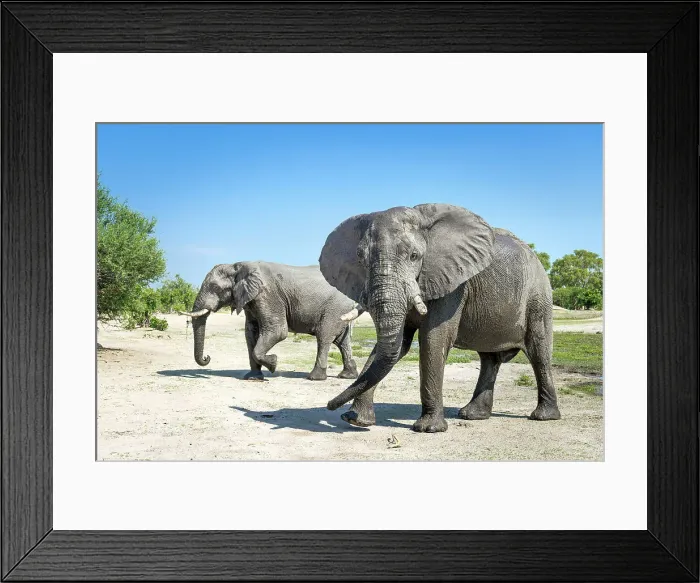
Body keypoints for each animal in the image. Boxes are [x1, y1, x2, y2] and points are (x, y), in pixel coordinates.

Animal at [180, 261, 359, 381]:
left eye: (216, 288)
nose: (207, 358)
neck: (238, 265)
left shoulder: (267, 295)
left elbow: (278, 331)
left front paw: (273, 364)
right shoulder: (250, 300)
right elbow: (250, 333)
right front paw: (253, 377)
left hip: (334, 308)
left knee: (324, 337)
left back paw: (314, 378)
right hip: (340, 311)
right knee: (342, 341)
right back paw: (347, 376)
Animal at [319, 203, 561, 433]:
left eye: (414, 256)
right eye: (361, 258)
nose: (330, 405)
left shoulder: (454, 284)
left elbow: (433, 339)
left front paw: (428, 429)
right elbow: (397, 344)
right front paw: (356, 420)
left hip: (538, 297)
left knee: (538, 351)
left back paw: (544, 416)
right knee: (489, 359)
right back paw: (472, 415)